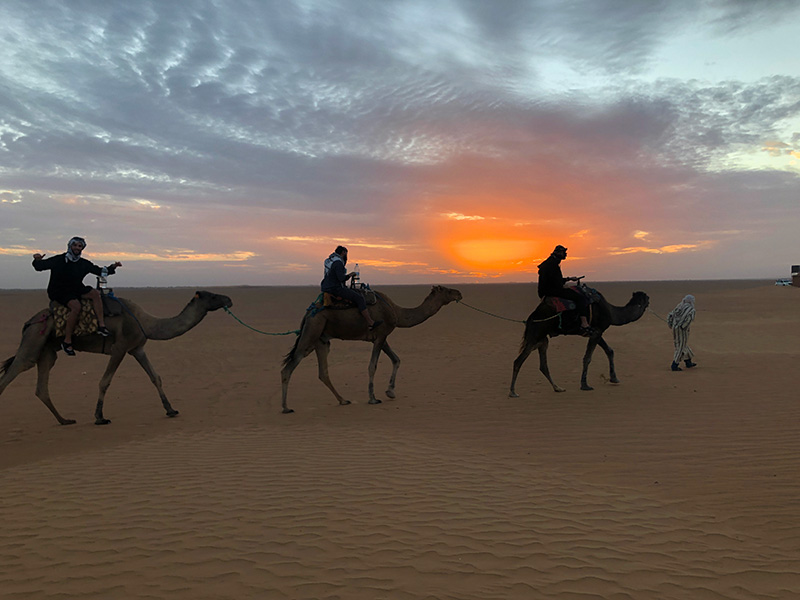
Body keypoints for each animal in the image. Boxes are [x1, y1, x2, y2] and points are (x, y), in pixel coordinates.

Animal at [0, 290, 231, 422]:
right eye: (212, 296)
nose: (229, 299)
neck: (145, 322)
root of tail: (28, 322)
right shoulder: (120, 347)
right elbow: (105, 381)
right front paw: (99, 416)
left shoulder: (137, 348)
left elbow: (155, 377)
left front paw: (171, 409)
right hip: (33, 339)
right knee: (14, 370)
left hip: (47, 350)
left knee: (41, 387)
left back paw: (64, 420)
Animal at [282, 286, 462, 412]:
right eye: (447, 290)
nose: (459, 293)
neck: (396, 311)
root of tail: (308, 313)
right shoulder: (380, 335)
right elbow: (372, 366)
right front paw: (373, 398)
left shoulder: (381, 337)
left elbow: (396, 359)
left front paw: (390, 392)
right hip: (312, 331)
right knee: (289, 366)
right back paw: (286, 408)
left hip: (321, 340)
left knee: (323, 372)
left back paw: (343, 400)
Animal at [512, 288, 648, 396]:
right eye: (647, 298)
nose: (649, 301)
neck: (611, 312)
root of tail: (531, 318)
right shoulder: (597, 331)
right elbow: (587, 358)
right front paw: (585, 385)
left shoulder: (595, 332)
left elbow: (609, 350)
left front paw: (614, 378)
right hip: (535, 335)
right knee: (518, 361)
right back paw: (512, 392)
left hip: (542, 340)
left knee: (543, 365)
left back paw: (557, 388)